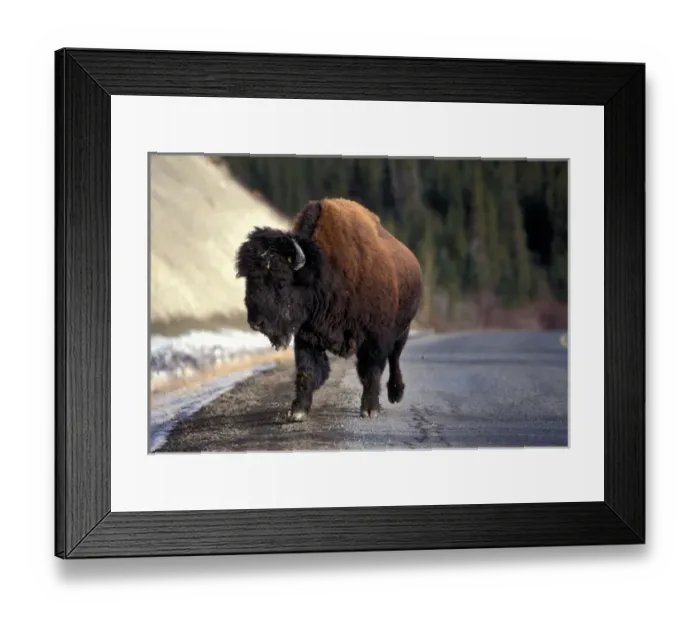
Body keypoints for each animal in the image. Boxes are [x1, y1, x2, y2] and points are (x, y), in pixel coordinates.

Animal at [235, 198, 423, 421]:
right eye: (249, 280)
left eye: (281, 282)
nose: (256, 322)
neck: (324, 271)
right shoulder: (307, 335)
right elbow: (307, 370)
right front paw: (298, 411)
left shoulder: (376, 337)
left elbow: (371, 371)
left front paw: (369, 409)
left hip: (403, 330)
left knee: (395, 359)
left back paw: (395, 393)